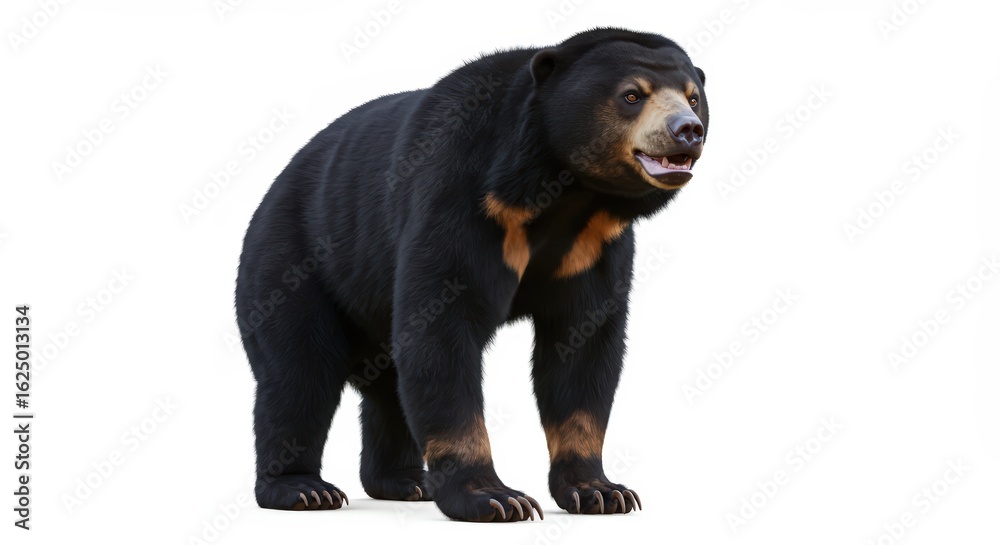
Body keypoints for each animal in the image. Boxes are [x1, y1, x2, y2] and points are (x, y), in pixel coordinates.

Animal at [236, 27, 708, 522]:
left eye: (694, 97)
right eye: (632, 95)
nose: (687, 130)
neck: (568, 194)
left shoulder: (596, 246)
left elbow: (583, 346)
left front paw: (601, 491)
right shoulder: (460, 198)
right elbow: (442, 331)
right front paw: (496, 498)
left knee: (387, 388)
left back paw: (405, 482)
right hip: (293, 264)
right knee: (299, 375)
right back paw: (304, 489)